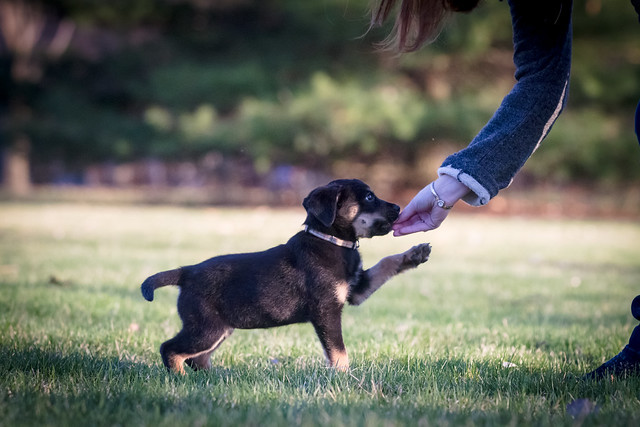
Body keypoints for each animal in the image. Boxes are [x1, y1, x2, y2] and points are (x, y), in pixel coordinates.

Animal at [140, 180, 430, 374]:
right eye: (369, 197)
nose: (398, 206)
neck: (332, 241)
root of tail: (187, 272)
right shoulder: (327, 310)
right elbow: (339, 351)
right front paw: (344, 377)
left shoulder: (356, 290)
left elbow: (386, 262)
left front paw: (414, 254)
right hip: (204, 328)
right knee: (170, 349)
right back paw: (179, 379)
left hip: (218, 328)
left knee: (196, 359)